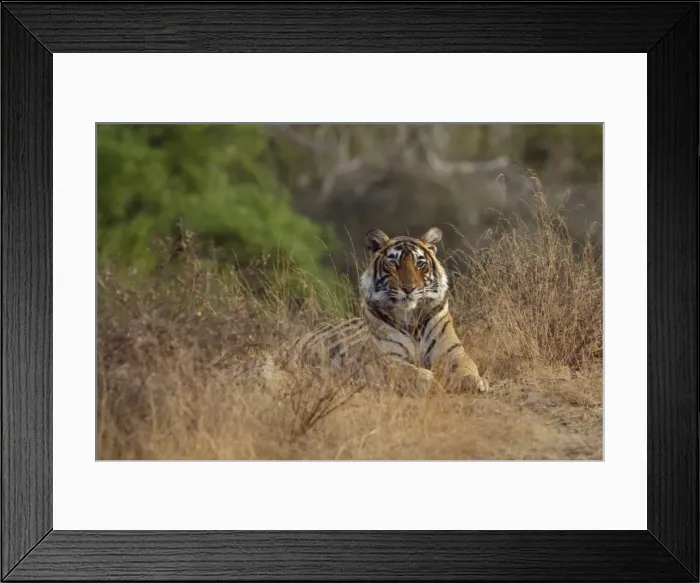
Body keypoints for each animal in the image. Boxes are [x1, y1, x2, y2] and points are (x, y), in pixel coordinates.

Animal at [282, 226, 489, 394]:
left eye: (420, 263)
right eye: (392, 263)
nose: (408, 288)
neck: (411, 317)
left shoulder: (450, 350)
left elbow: (466, 366)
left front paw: (474, 382)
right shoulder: (387, 358)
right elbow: (411, 372)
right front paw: (432, 383)